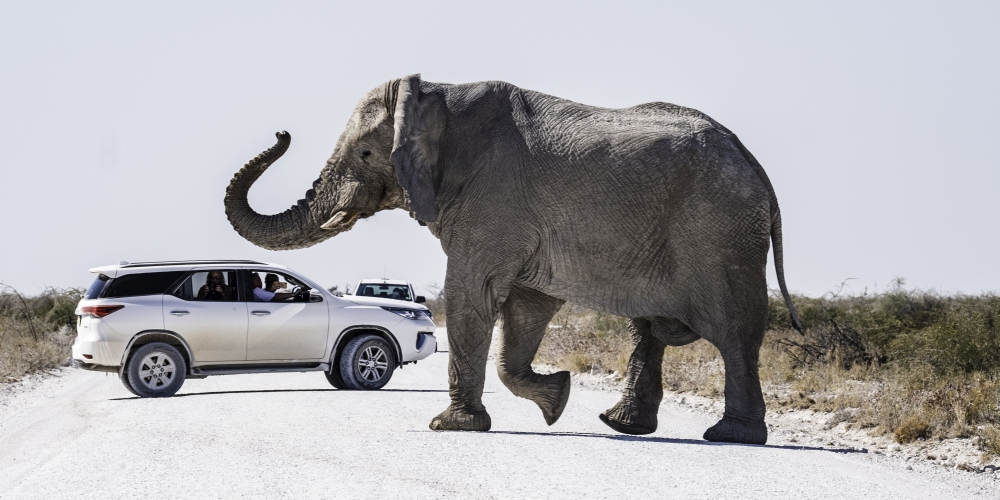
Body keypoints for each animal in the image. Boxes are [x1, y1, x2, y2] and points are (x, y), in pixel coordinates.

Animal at [225, 72, 804, 444]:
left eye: (366, 154)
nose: (282, 132)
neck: (437, 95)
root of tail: (753, 162)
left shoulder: (493, 200)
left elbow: (471, 295)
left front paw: (450, 428)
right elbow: (525, 308)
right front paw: (557, 399)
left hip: (720, 233)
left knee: (733, 332)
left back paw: (730, 435)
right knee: (650, 329)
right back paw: (620, 425)